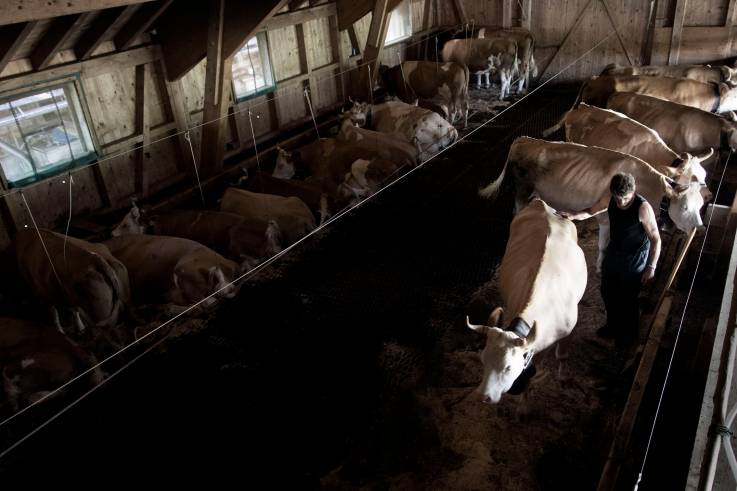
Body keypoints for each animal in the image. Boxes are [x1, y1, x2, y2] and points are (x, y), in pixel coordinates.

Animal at [466, 199, 588, 404]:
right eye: (483, 360)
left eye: (508, 367)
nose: (483, 396)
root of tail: (542, 204)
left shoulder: (568, 331)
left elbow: (561, 356)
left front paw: (562, 377)